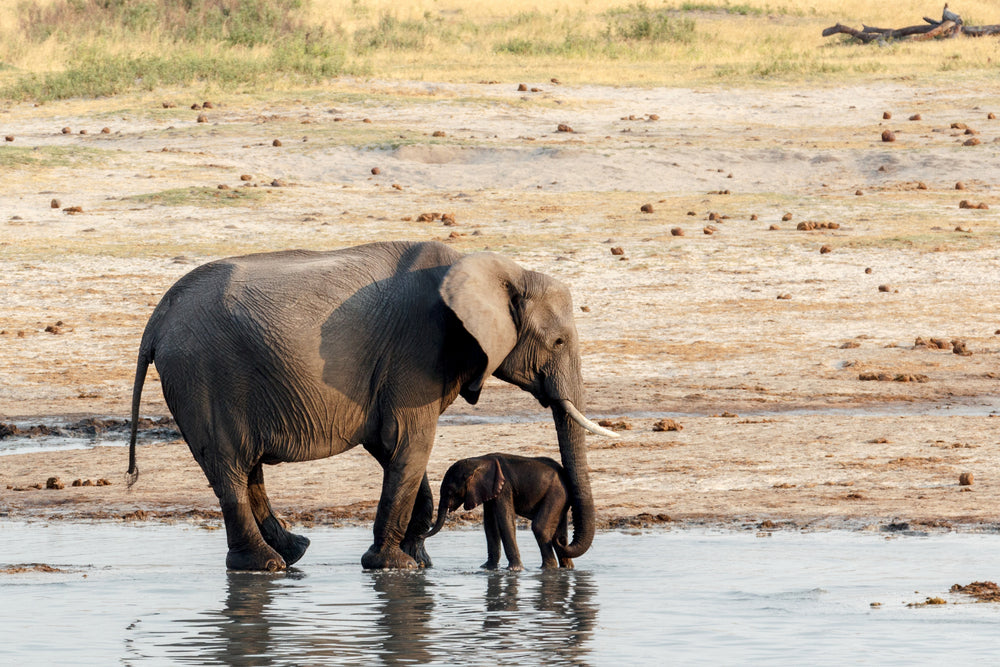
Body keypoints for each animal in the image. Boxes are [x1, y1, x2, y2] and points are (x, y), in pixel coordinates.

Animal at [424, 453, 575, 570]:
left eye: (450, 491)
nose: (421, 535)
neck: (478, 461)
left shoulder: (504, 487)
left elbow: (505, 520)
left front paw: (514, 569)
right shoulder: (488, 490)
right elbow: (490, 523)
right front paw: (487, 568)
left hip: (557, 494)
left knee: (540, 527)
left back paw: (548, 568)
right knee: (559, 534)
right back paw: (566, 567)